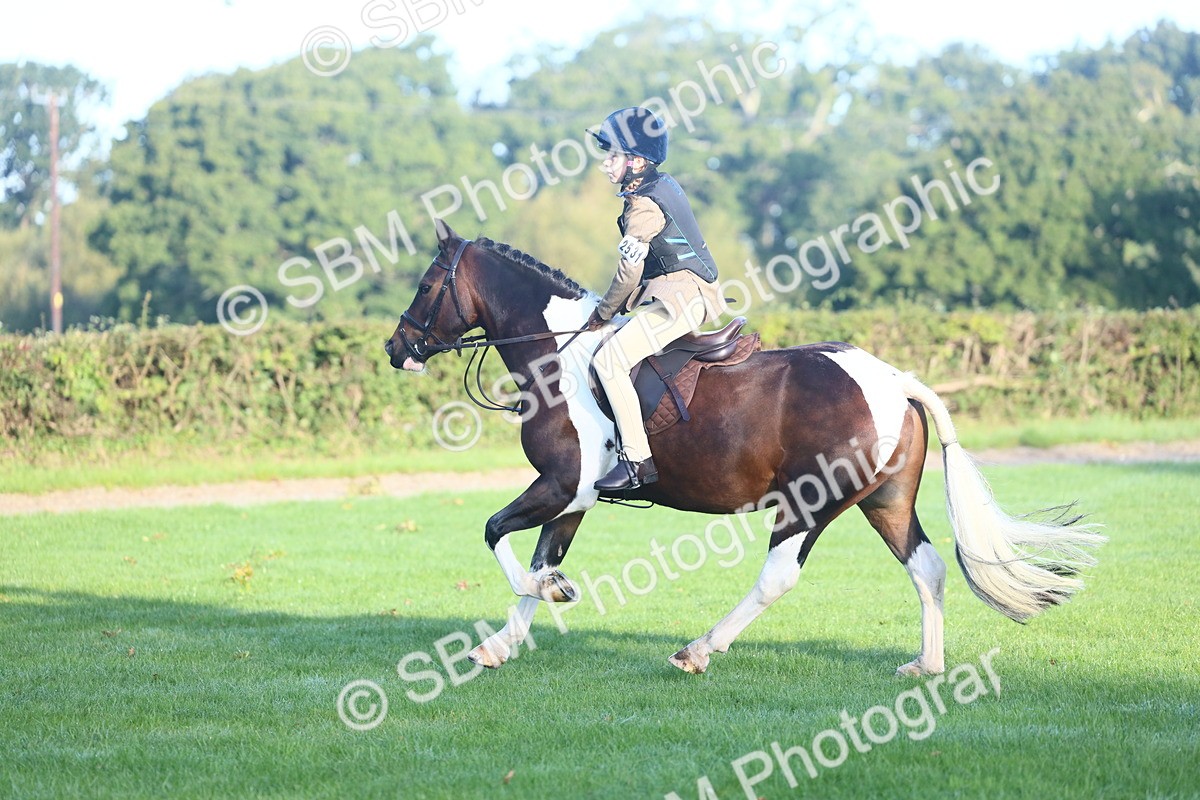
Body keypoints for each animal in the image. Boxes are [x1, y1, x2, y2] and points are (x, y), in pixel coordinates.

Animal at [385, 219, 1104, 677]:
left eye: (425, 286)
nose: (395, 348)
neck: (557, 354)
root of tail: (892, 379)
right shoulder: (575, 497)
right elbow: (536, 557)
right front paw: (502, 643)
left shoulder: (562, 485)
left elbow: (498, 536)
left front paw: (553, 592)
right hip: (885, 502)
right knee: (925, 568)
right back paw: (925, 666)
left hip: (808, 504)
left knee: (778, 575)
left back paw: (698, 650)